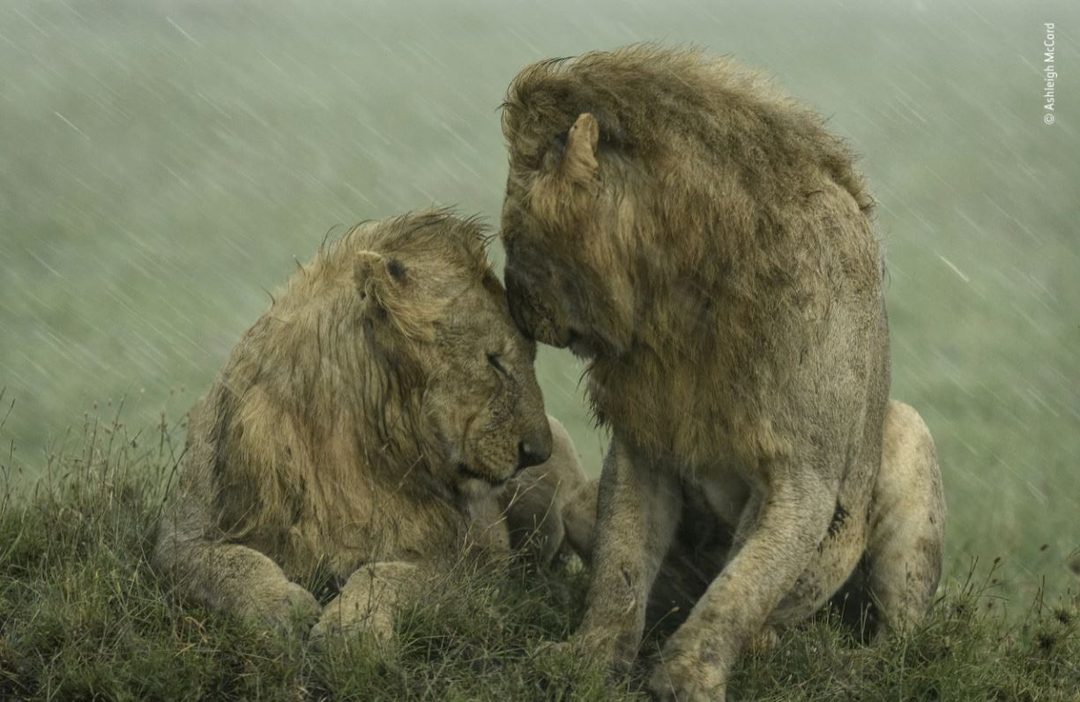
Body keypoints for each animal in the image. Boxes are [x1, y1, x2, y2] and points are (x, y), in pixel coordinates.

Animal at [154, 211, 593, 642]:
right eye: (494, 361)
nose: (537, 453)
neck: (345, 441)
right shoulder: (182, 535)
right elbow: (227, 564)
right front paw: (281, 608)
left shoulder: (470, 567)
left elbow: (385, 573)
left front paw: (353, 627)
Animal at [498, 46, 947, 699]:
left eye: (512, 236)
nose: (514, 306)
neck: (684, 298)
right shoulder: (644, 445)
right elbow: (620, 569)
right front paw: (588, 659)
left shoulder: (803, 478)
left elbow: (741, 586)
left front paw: (688, 676)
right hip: (582, 502)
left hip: (907, 435)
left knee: (900, 630)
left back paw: (844, 661)